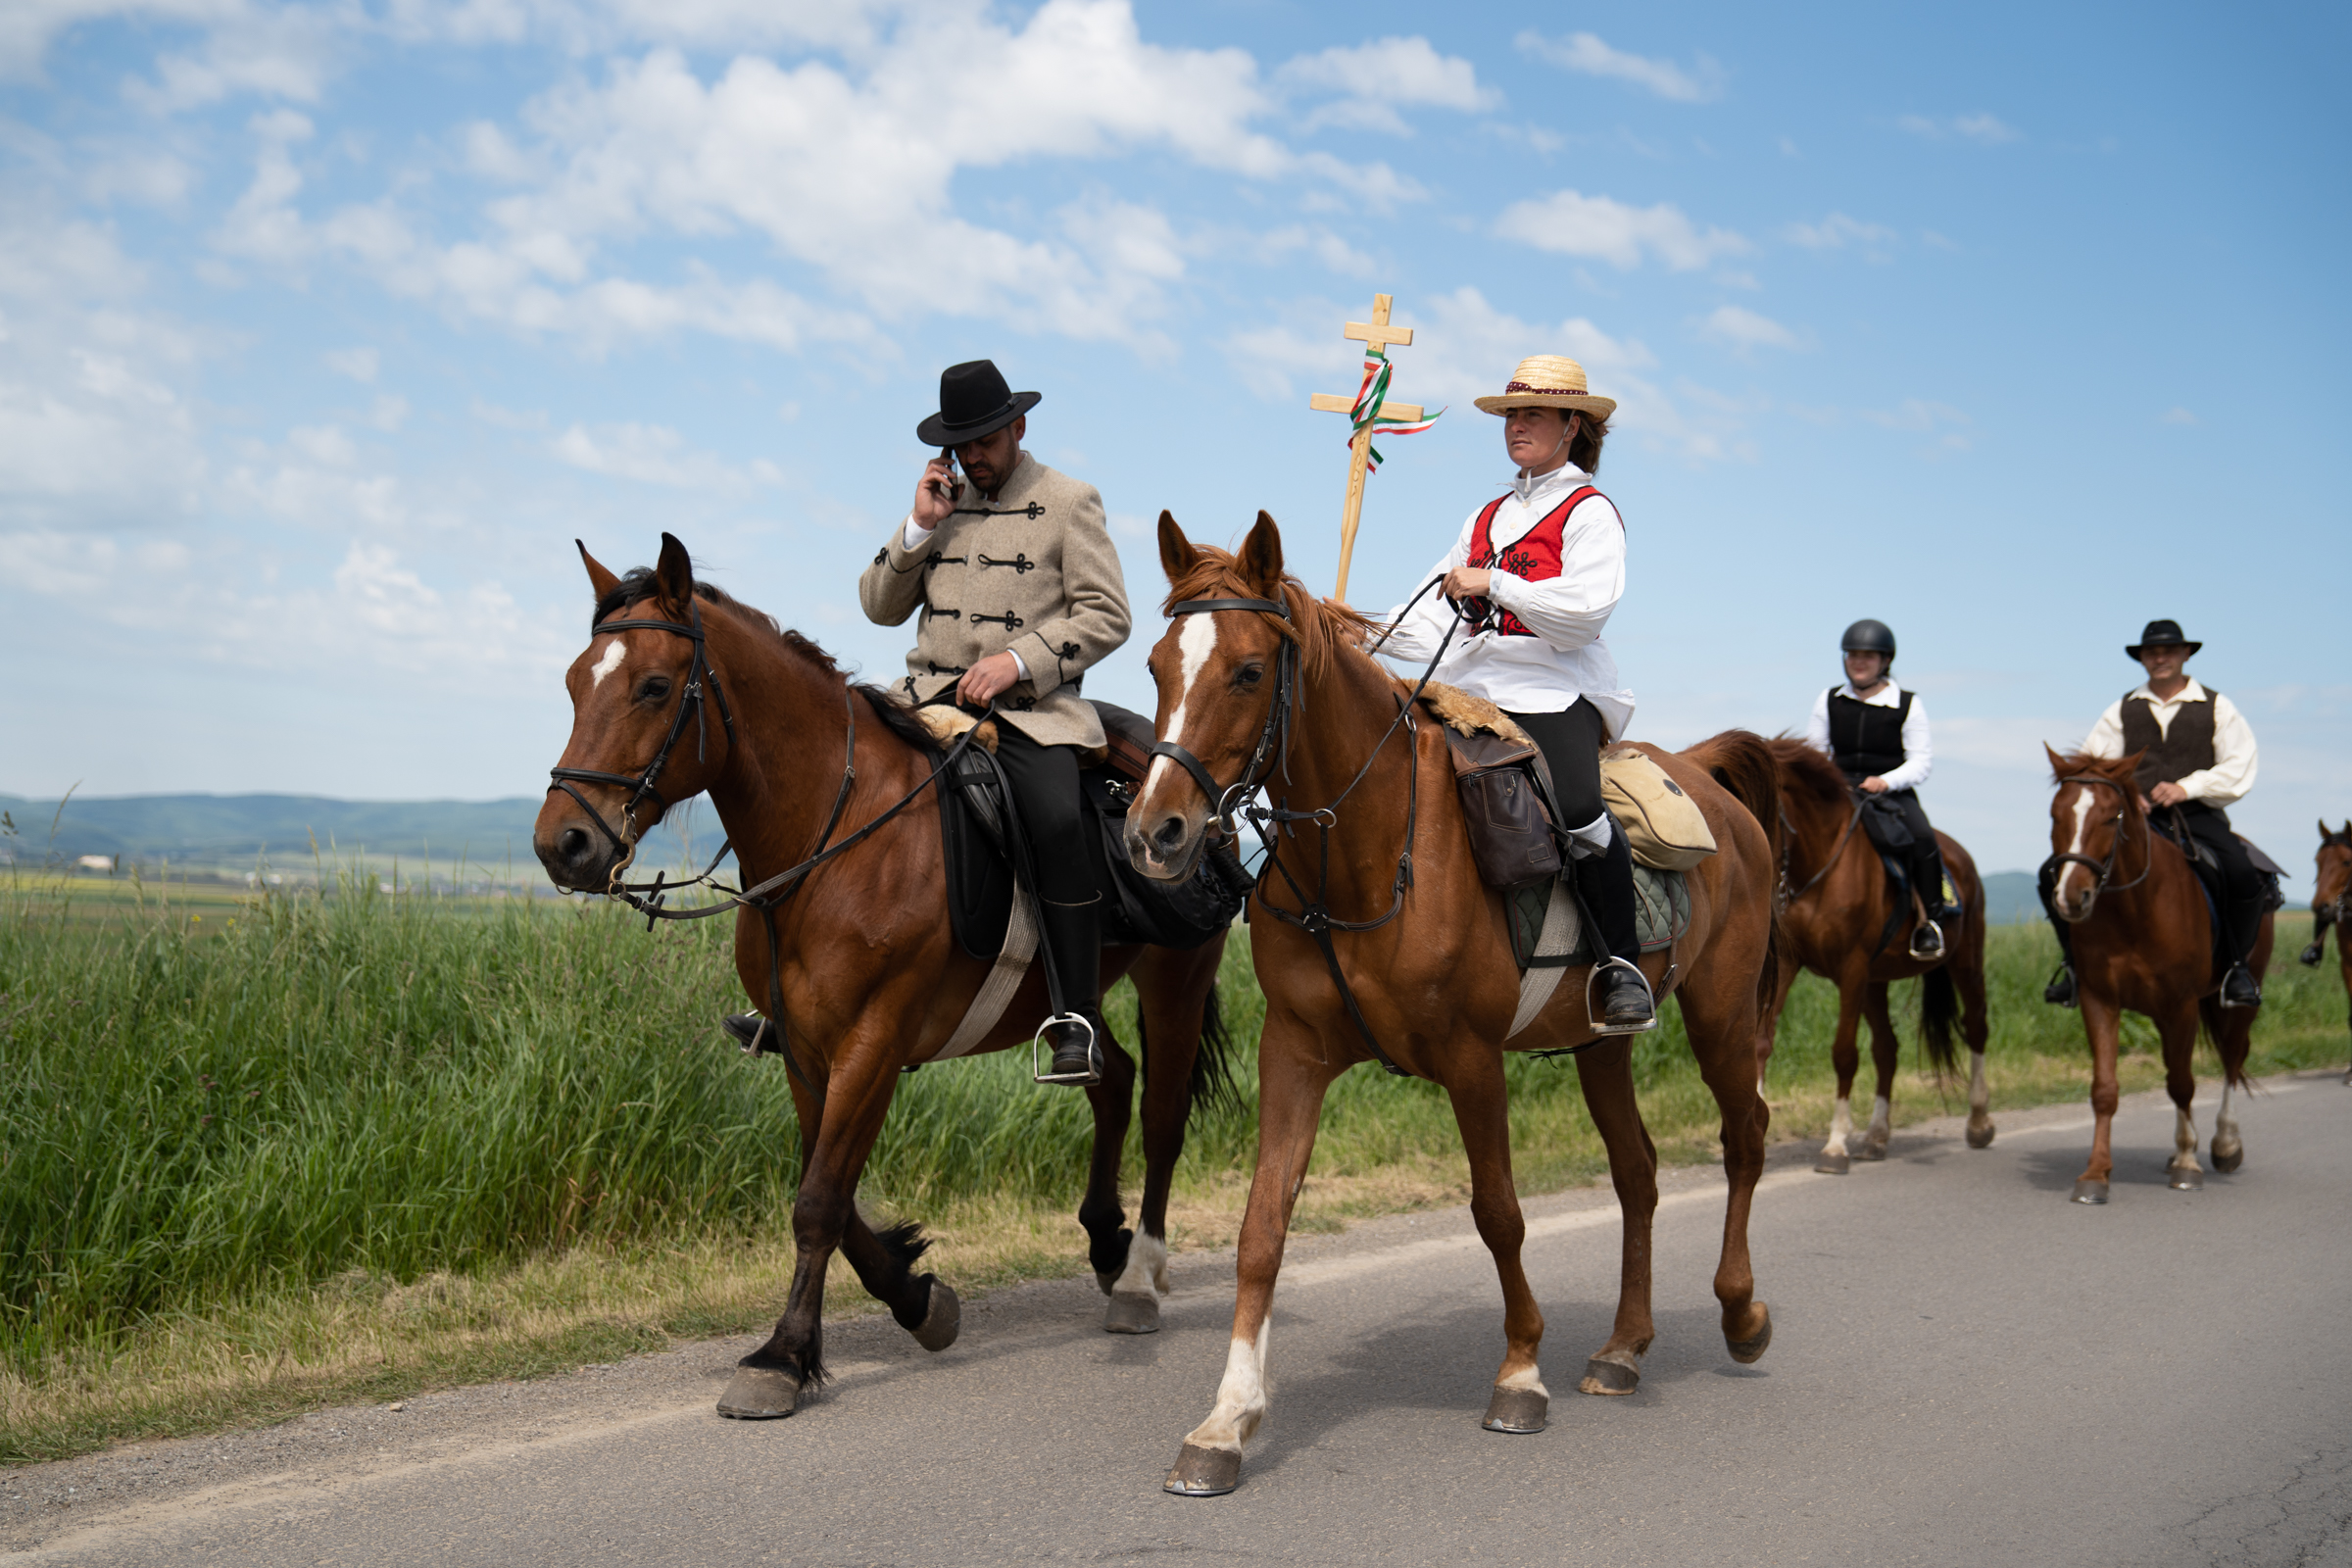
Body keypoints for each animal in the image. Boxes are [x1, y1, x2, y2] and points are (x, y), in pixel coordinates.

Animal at [1124, 514, 1778, 1494]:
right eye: (1158, 665)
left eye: (1246, 671)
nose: (1153, 835)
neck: (1367, 848)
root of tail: (1711, 786)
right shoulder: (1296, 1051)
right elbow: (1262, 1226)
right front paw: (1226, 1421)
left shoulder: (1472, 1060)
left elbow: (1498, 1213)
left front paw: (1520, 1373)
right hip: (1604, 1044)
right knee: (1639, 1172)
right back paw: (1623, 1348)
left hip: (1723, 1017)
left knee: (1743, 1139)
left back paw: (1740, 1315)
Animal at [1759, 743, 1994, 1170]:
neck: (1820, 861)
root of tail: (1961, 856)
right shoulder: (1786, 965)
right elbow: (1762, 1042)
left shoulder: (1851, 967)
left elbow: (1844, 1053)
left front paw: (1835, 1145)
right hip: (1875, 981)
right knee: (1887, 1049)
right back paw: (1877, 1136)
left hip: (1965, 962)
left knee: (1976, 1027)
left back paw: (1979, 1122)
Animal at [2041, 747, 2277, 1203]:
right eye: (2055, 814)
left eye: (2110, 817)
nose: (2071, 897)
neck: (2134, 908)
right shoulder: (2100, 1000)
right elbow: (2105, 1089)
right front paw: (2095, 1174)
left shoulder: (2181, 1004)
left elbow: (2183, 1083)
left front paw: (2188, 1164)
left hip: (2237, 1003)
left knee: (2231, 1058)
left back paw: (2224, 1144)